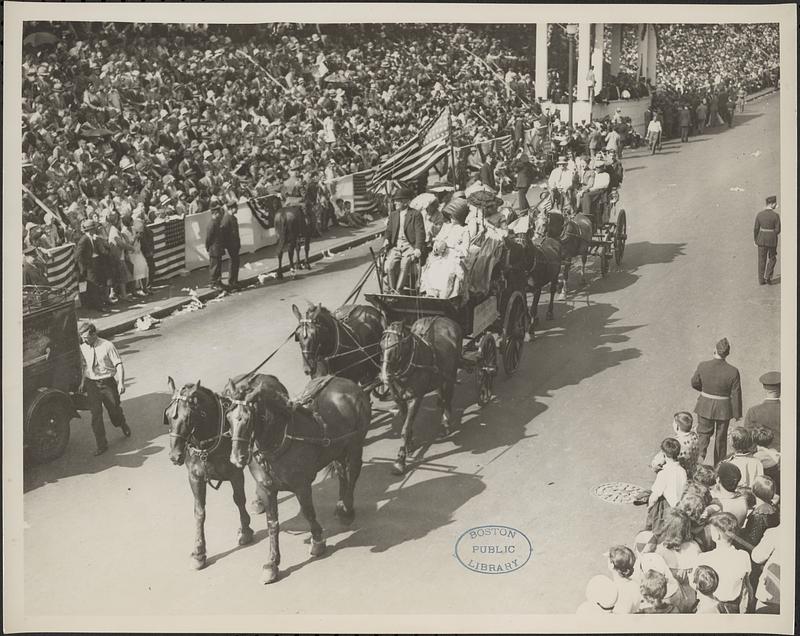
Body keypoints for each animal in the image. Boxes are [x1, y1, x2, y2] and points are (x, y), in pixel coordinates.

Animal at [161, 376, 252, 568]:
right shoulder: (195, 477)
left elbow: (239, 499)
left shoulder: (235, 474)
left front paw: (245, 530)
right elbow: (199, 512)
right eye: (168, 415)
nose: (174, 456)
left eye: (188, 417)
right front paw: (198, 552)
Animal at [223, 372, 370, 588]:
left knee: (353, 472)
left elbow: (308, 512)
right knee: (342, 472)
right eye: (228, 418)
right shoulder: (266, 489)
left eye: (248, 419)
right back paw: (341, 504)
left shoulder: (302, 485)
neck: (279, 441)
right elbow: (272, 524)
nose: (236, 457)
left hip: (354, 444)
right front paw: (272, 563)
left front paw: (317, 541)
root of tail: (345, 381)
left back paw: (347, 509)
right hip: (337, 448)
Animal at [382, 316, 462, 474]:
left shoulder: (416, 398)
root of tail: (444, 318)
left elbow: (405, 428)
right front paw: (409, 445)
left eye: (397, 344)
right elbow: (405, 422)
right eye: (381, 344)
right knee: (443, 393)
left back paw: (446, 420)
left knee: (448, 397)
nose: (384, 375)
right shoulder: (399, 399)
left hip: (451, 373)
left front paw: (400, 461)